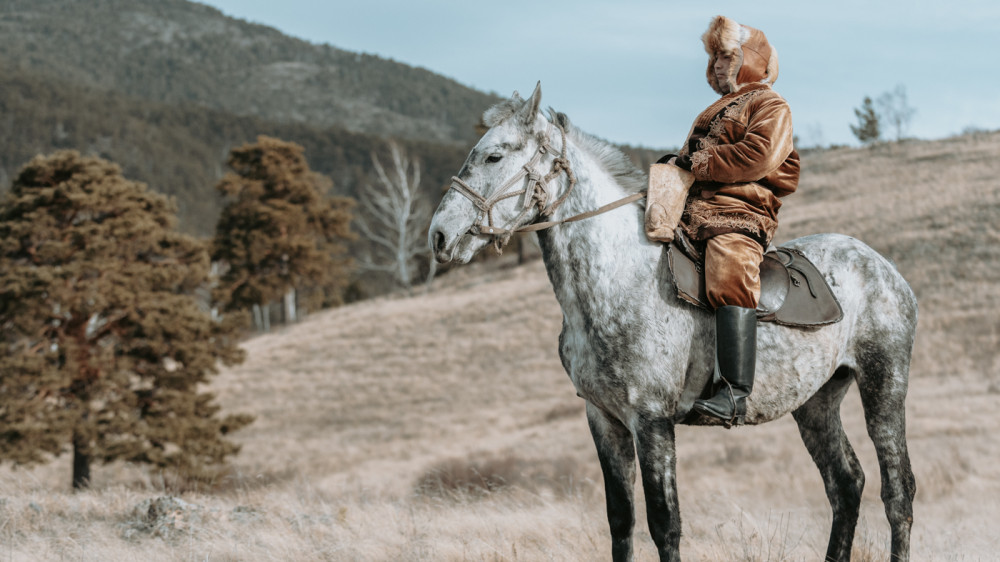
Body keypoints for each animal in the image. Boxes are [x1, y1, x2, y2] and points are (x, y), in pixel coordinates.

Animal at [426, 84, 916, 560]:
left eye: (494, 156)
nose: (440, 236)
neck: (617, 277)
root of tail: (885, 268)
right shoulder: (603, 419)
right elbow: (620, 521)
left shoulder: (651, 420)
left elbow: (665, 524)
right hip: (816, 403)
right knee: (846, 485)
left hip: (884, 388)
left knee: (898, 493)